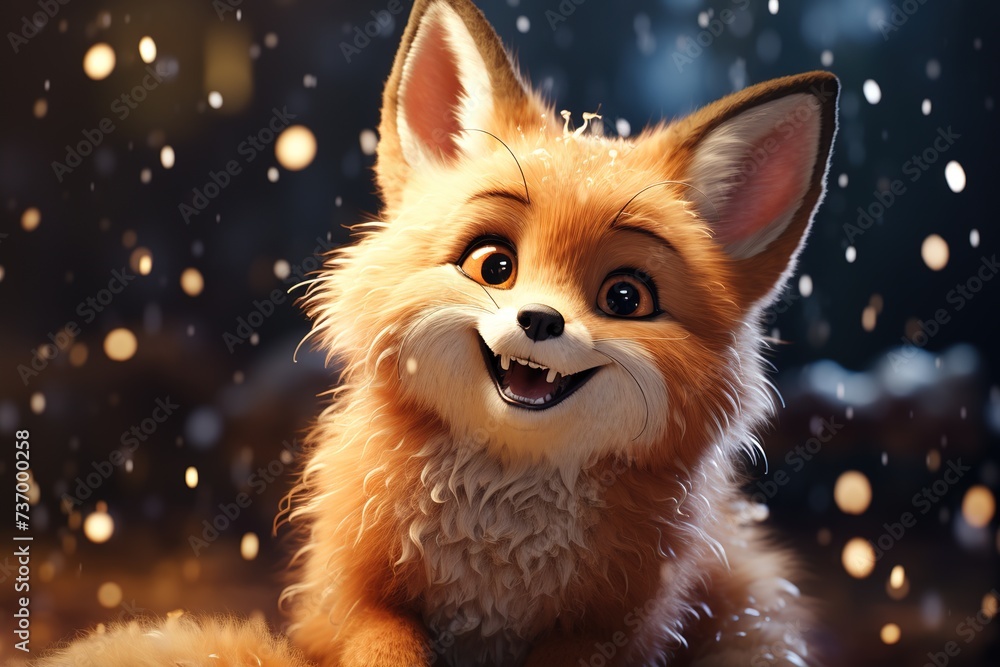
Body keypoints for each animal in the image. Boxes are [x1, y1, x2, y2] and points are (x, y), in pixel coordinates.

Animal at [36, 0, 839, 665]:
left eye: (625, 296)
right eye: (494, 264)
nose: (540, 320)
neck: (503, 526)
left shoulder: (611, 626)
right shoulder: (350, 598)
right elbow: (381, 645)